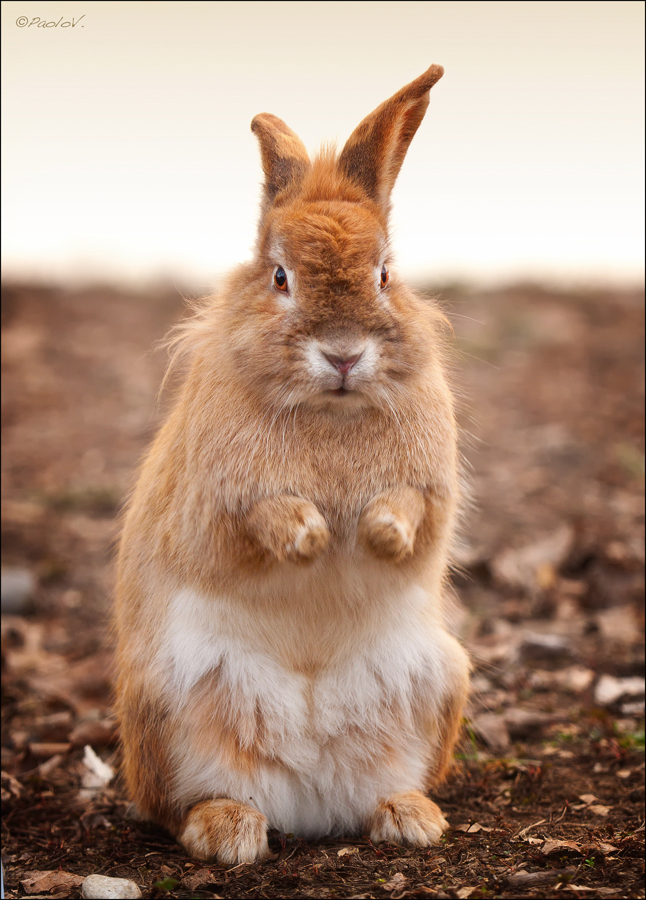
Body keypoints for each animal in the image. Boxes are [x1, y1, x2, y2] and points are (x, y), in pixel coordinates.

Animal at [115, 63, 470, 865]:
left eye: (384, 273)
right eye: (280, 277)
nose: (342, 354)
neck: (329, 409)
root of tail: (308, 798)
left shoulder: (433, 494)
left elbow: (413, 517)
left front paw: (378, 534)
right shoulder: (212, 506)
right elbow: (254, 522)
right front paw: (310, 536)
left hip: (439, 682)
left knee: (389, 783)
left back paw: (409, 816)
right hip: (164, 711)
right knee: (182, 805)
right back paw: (229, 830)